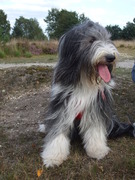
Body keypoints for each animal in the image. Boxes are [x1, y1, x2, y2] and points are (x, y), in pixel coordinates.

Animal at [39, 20, 118, 168]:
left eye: (108, 39)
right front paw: (53, 156)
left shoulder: (96, 106)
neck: (84, 79)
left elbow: (95, 128)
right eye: (91, 40)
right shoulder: (62, 104)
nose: (111, 57)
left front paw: (97, 150)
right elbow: (57, 129)